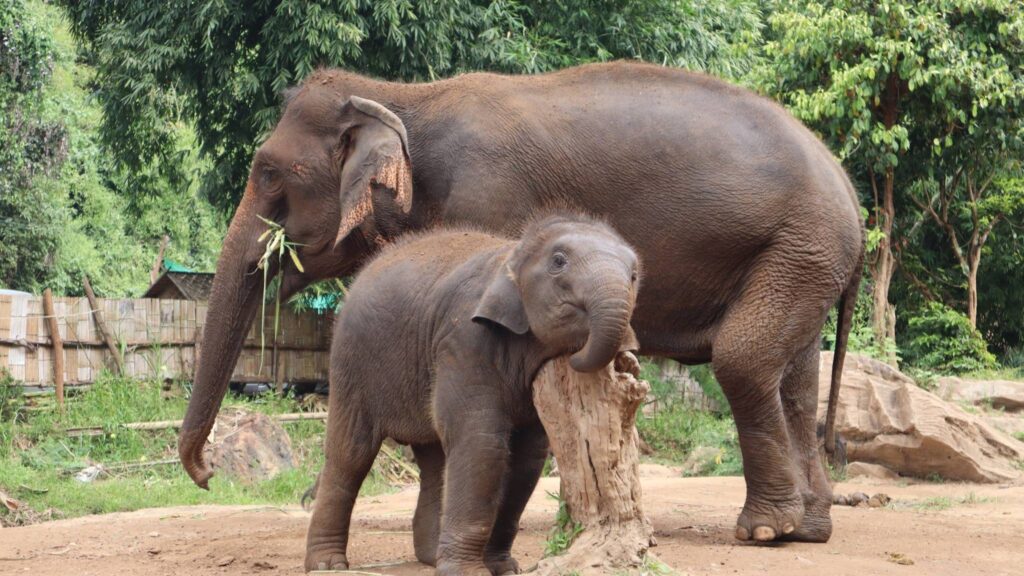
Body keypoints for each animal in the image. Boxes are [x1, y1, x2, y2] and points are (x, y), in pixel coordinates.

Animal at [304, 214, 640, 573]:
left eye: (635, 275)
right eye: (559, 262)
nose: (625, 358)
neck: (512, 253)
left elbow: (527, 456)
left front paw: (503, 568)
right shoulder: (464, 340)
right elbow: (481, 442)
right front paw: (469, 571)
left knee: (434, 459)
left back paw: (430, 556)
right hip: (350, 364)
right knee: (350, 454)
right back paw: (327, 565)